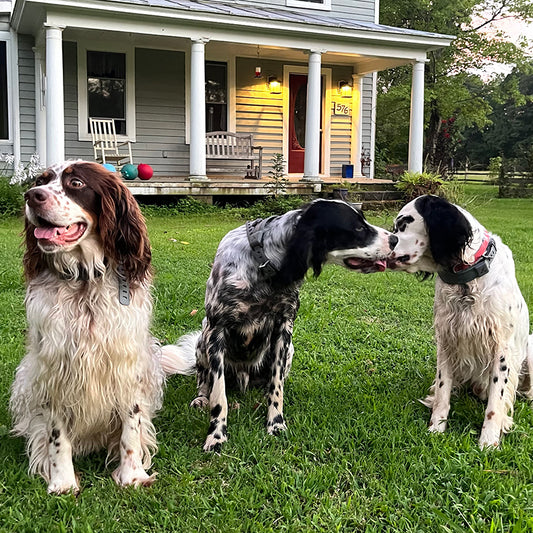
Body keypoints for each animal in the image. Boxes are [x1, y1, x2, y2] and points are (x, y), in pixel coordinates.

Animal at [9, 160, 193, 492]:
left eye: (76, 183)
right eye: (40, 180)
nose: (31, 196)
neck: (84, 281)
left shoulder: (126, 365)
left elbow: (131, 429)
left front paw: (132, 475)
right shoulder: (56, 369)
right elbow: (57, 437)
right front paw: (62, 482)